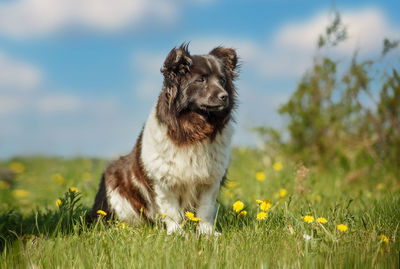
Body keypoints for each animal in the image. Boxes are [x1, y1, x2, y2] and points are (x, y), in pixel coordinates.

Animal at [87, 43, 238, 232]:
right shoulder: (163, 180)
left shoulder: (211, 180)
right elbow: (171, 210)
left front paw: (207, 233)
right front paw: (177, 233)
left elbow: (206, 209)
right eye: (200, 80)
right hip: (114, 185)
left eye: (222, 80)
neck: (193, 128)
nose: (224, 96)